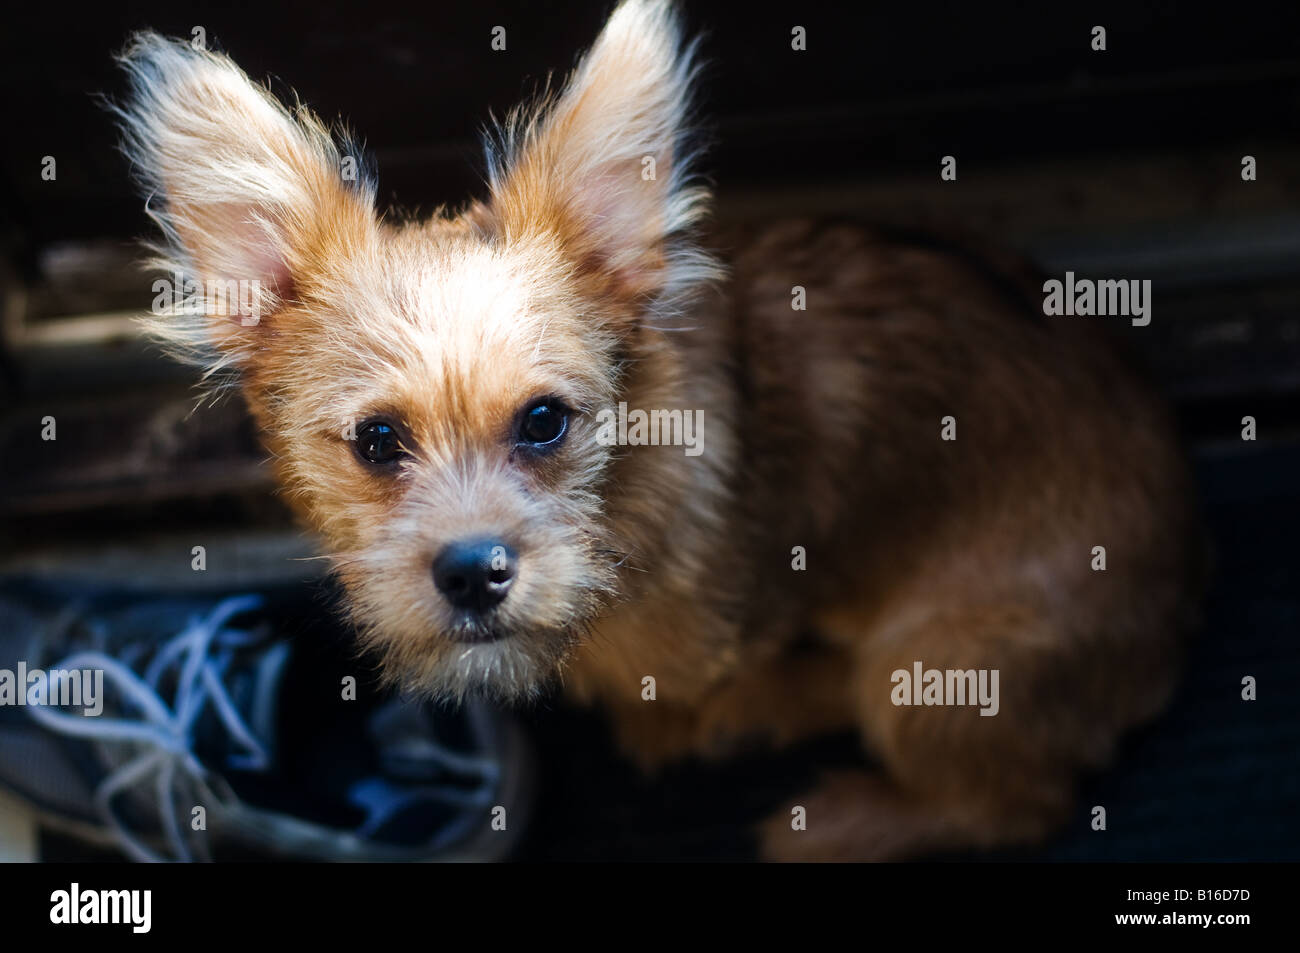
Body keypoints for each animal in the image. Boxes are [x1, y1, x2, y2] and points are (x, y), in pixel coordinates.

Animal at [116, 0, 1201, 863]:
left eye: (545, 421)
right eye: (378, 440)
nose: (474, 570)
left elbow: (688, 694)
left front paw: (709, 715)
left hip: (932, 658)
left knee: (1011, 800)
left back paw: (830, 811)